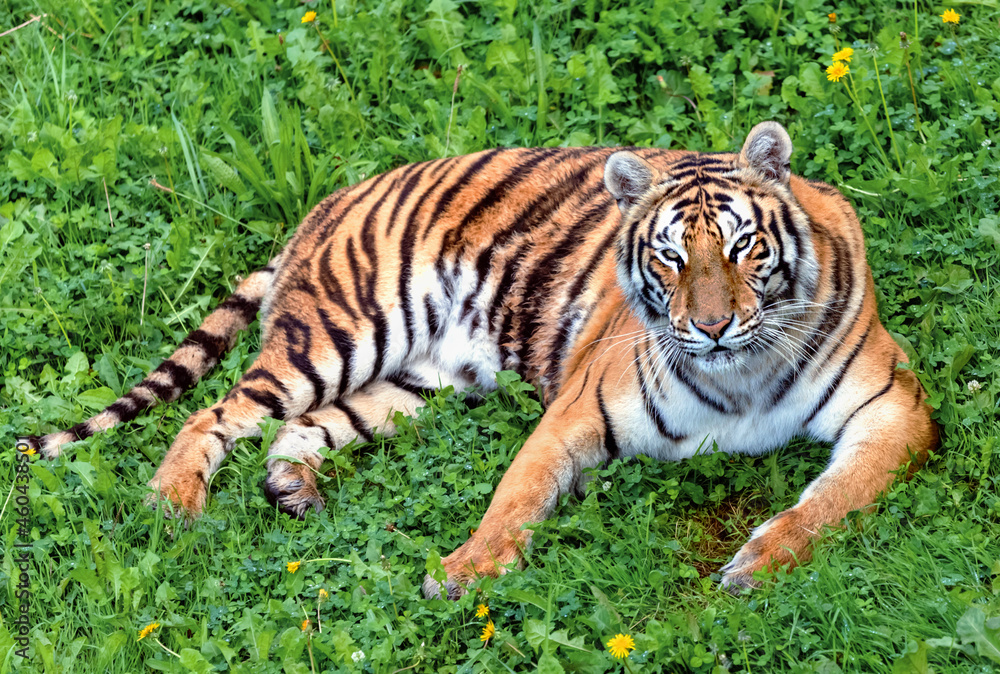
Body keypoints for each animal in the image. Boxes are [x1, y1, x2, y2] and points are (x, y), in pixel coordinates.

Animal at [19, 121, 938, 597]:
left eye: (744, 247)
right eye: (671, 256)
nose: (711, 327)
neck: (738, 374)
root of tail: (326, 203)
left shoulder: (894, 405)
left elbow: (838, 498)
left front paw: (760, 563)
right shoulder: (580, 408)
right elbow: (517, 497)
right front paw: (461, 574)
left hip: (414, 382)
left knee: (302, 428)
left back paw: (293, 489)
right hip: (341, 333)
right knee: (214, 413)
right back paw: (172, 503)